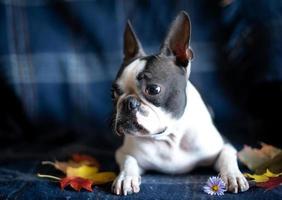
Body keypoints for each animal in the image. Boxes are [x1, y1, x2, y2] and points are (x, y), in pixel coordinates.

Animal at [110, 10, 249, 195]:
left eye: (153, 89)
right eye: (113, 93)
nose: (127, 103)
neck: (170, 138)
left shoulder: (225, 144)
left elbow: (227, 155)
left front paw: (233, 176)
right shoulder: (122, 152)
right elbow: (128, 160)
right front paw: (126, 178)